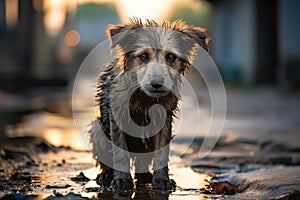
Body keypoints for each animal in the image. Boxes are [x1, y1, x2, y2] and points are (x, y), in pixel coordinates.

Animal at [90, 18, 210, 190]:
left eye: (171, 57)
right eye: (143, 56)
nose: (157, 83)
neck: (145, 98)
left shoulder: (164, 120)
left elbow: (161, 154)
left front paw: (161, 179)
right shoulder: (117, 118)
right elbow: (120, 153)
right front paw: (121, 179)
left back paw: (145, 175)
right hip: (97, 128)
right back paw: (106, 176)